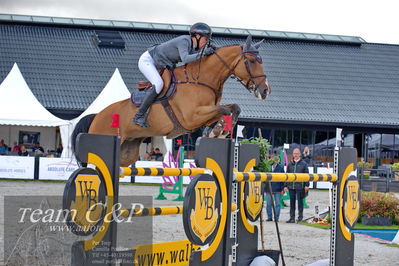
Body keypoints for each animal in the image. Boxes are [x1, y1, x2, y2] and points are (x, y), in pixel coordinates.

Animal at [72, 34, 272, 165]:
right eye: (252, 61)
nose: (265, 91)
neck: (201, 79)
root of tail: (96, 115)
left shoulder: (206, 110)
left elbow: (233, 108)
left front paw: (218, 129)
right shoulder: (192, 117)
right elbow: (223, 110)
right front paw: (217, 130)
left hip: (126, 153)